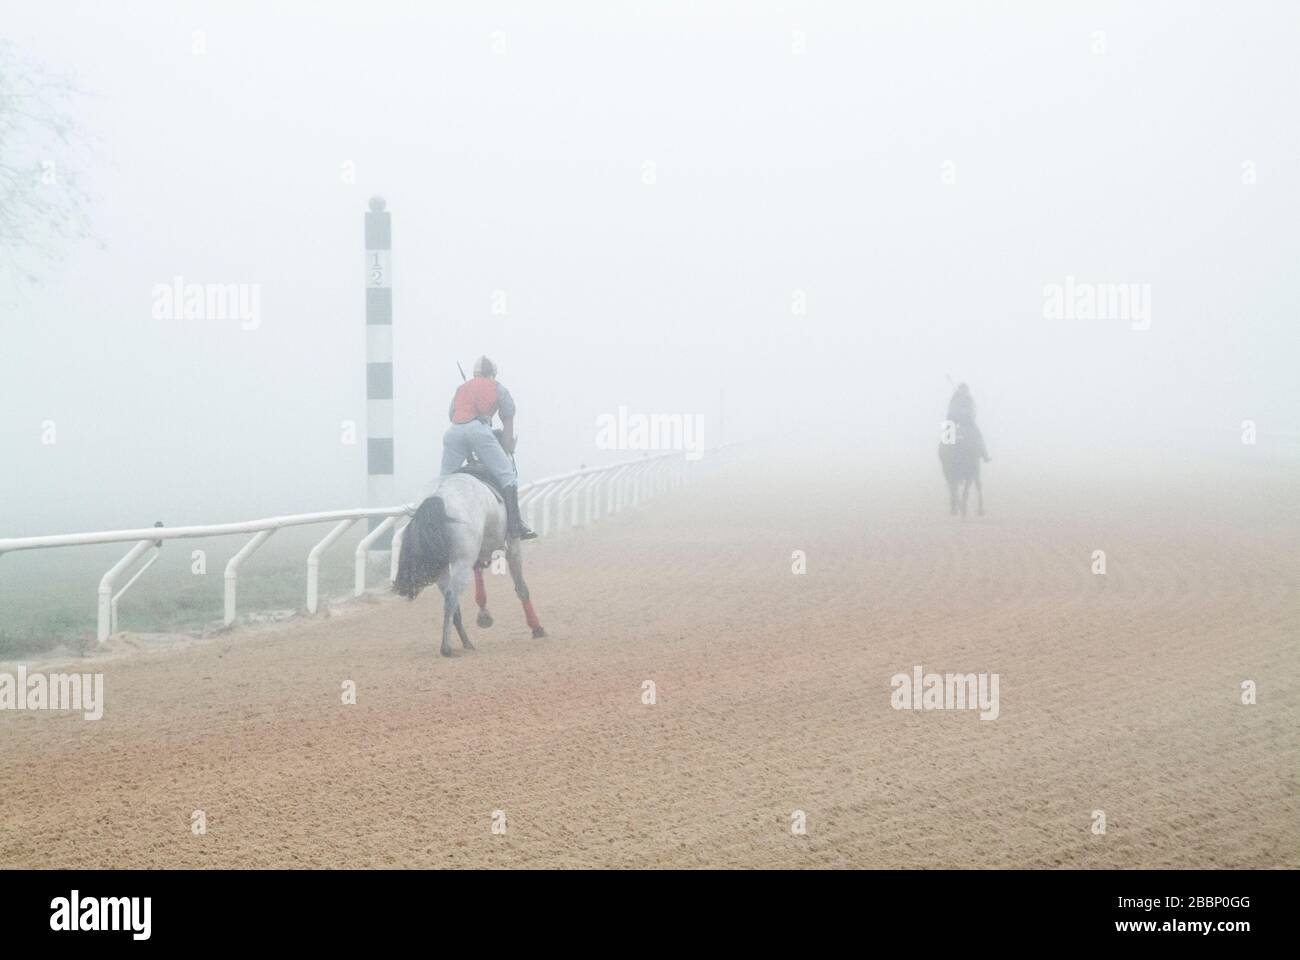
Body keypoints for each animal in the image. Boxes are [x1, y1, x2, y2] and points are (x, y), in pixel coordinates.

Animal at [390, 473, 543, 655]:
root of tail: (438, 495)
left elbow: (480, 580)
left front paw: (484, 615)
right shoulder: (513, 546)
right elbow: (521, 588)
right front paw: (537, 628)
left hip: (444, 566)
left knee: (451, 599)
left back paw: (466, 642)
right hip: (462, 561)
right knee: (451, 597)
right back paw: (447, 648)